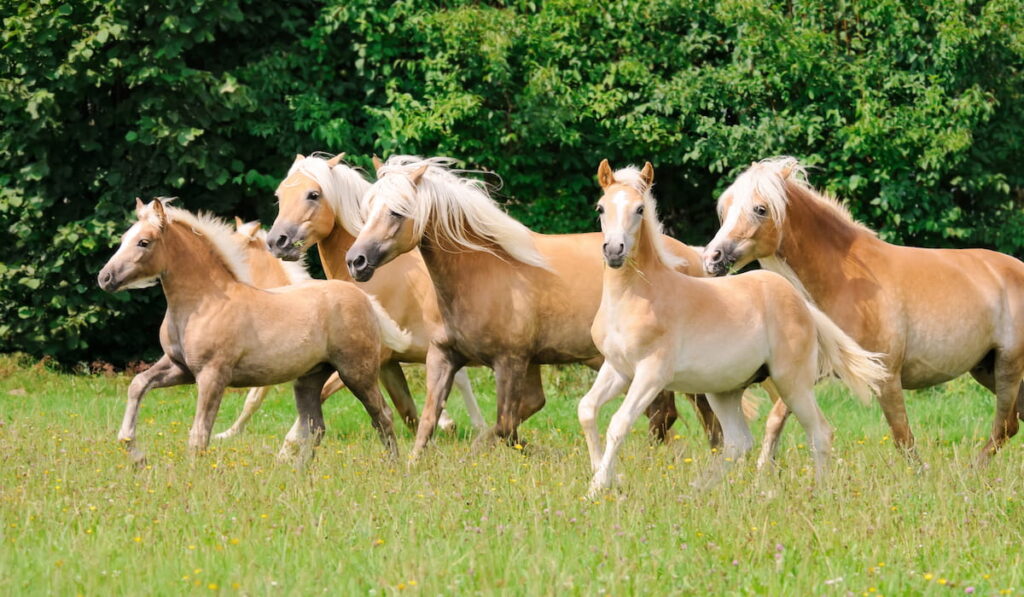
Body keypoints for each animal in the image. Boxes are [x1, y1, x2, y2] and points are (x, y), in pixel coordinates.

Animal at [97, 198, 409, 464]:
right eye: (123, 239)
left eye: (144, 242)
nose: (105, 277)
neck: (204, 302)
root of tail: (365, 299)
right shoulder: (179, 367)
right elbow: (138, 384)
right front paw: (134, 452)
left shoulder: (212, 375)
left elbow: (200, 433)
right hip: (310, 378)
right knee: (316, 426)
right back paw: (298, 472)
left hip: (357, 372)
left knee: (382, 415)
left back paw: (393, 466)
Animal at [264, 152, 487, 434]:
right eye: (279, 195)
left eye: (313, 194)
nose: (277, 241)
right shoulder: (388, 364)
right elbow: (407, 412)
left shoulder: (370, 358)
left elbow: (322, 394)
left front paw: (290, 443)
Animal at [344, 156, 720, 460]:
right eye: (366, 210)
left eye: (396, 212)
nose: (356, 261)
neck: (481, 272)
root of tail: (688, 255)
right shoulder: (443, 356)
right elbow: (429, 421)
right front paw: (413, 468)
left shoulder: (510, 362)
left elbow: (504, 426)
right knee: (671, 415)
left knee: (686, 413)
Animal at [581, 159, 884, 495]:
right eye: (600, 208)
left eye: (639, 209)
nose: (614, 251)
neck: (638, 295)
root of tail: (802, 303)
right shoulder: (617, 368)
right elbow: (587, 410)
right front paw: (604, 477)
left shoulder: (651, 373)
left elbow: (618, 423)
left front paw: (597, 488)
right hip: (724, 390)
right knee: (738, 442)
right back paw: (697, 490)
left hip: (792, 382)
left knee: (819, 431)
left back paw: (817, 491)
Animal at [700, 156, 1024, 464]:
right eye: (725, 210)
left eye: (760, 209)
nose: (712, 258)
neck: (845, 282)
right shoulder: (813, 370)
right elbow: (776, 419)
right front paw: (762, 471)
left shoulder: (886, 378)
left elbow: (903, 438)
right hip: (986, 369)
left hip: (1008, 366)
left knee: (1004, 426)